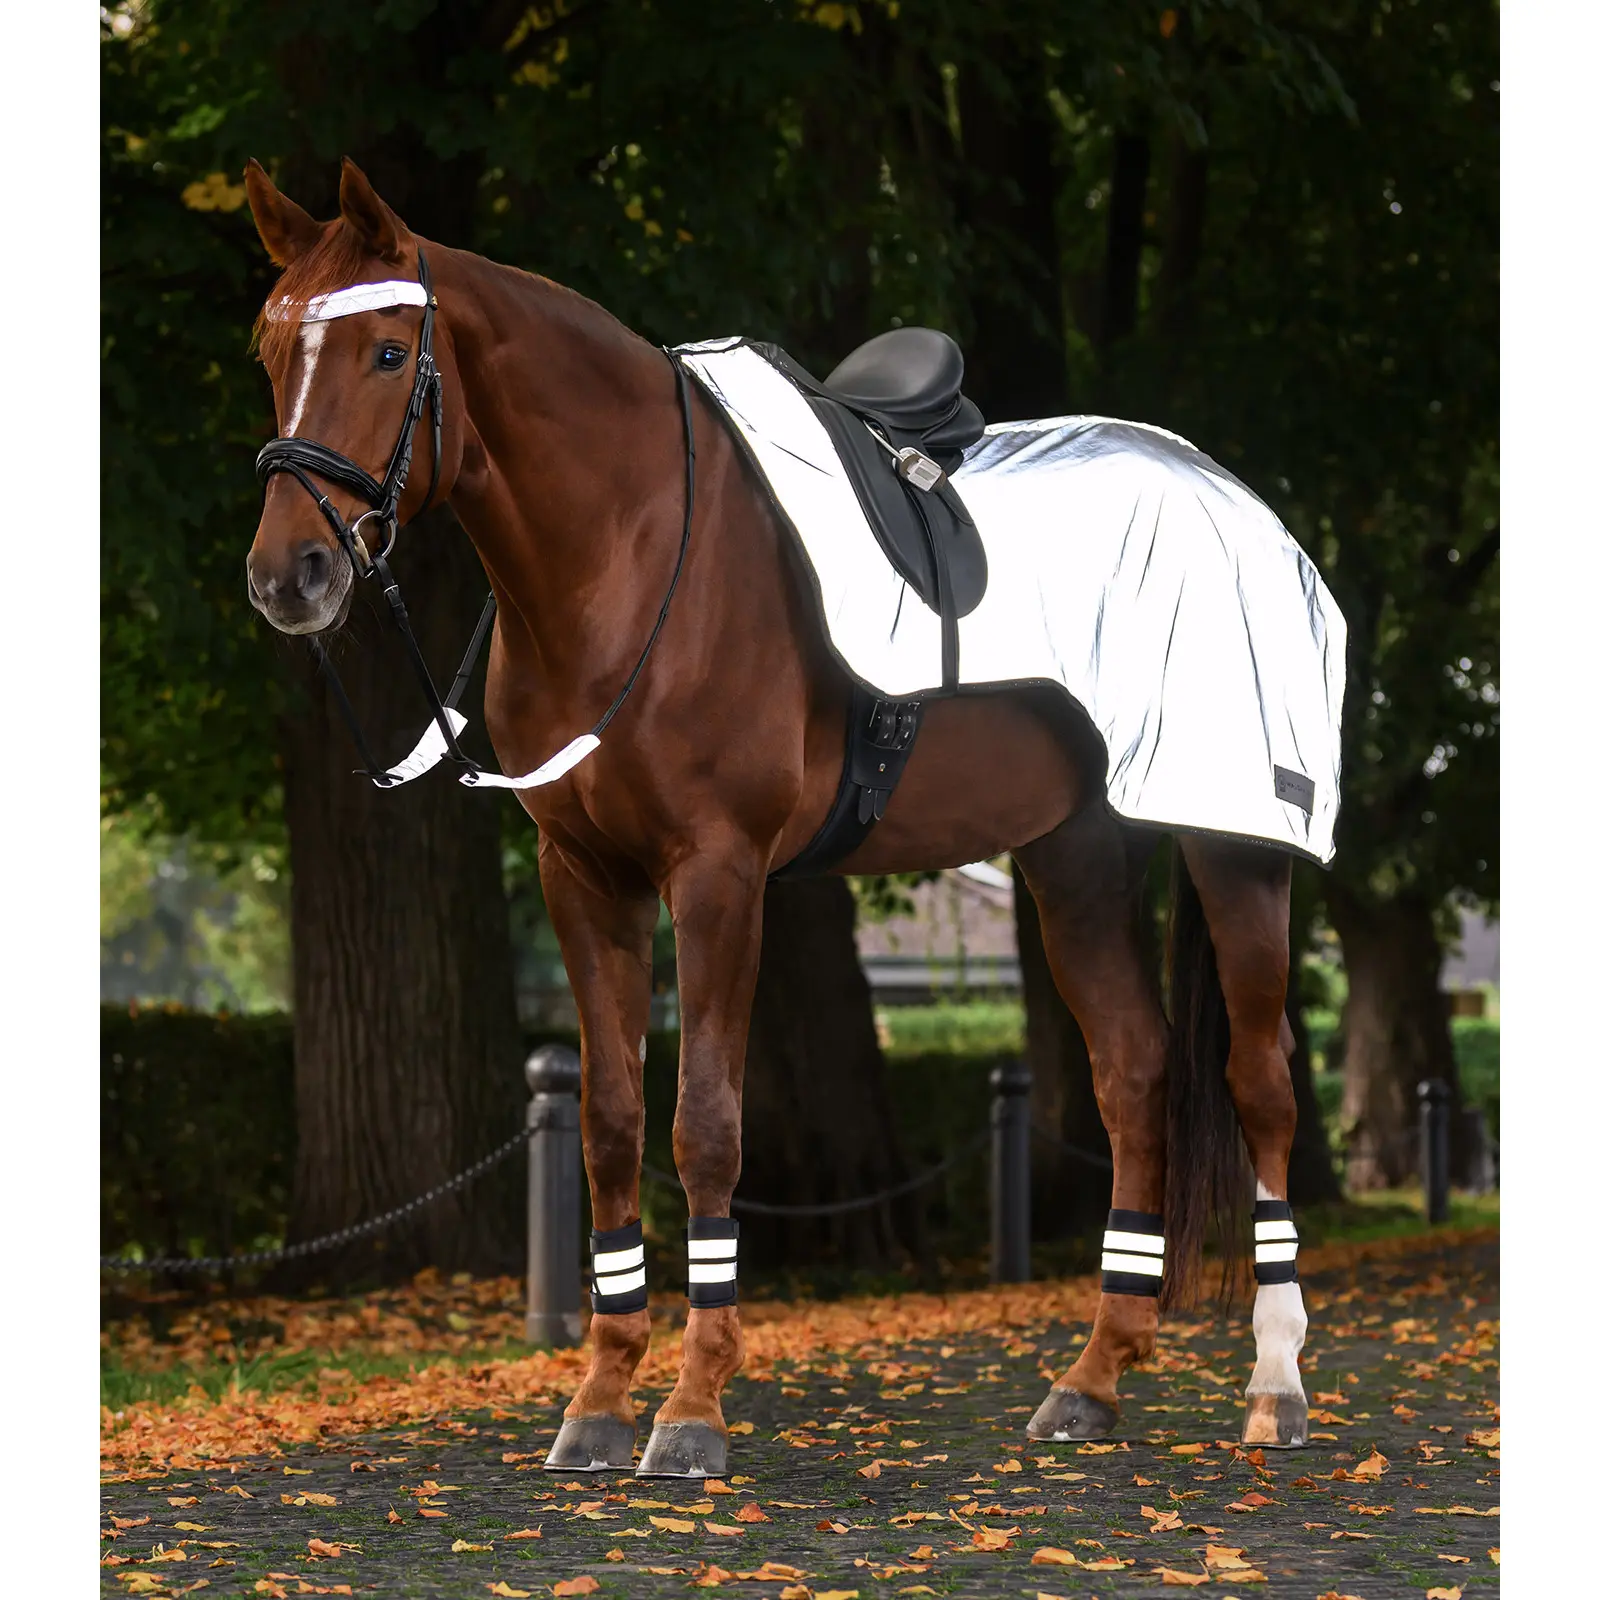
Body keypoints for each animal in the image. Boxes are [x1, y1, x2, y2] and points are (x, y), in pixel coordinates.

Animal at [241, 156, 1316, 1478]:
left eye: (390, 352)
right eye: (268, 346)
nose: (287, 576)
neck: (629, 551)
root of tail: (1228, 490)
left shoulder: (717, 873)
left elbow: (705, 1125)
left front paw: (692, 1409)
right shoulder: (582, 874)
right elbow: (609, 1123)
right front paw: (598, 1399)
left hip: (1233, 844)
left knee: (1259, 1081)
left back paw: (1274, 1384)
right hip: (1075, 855)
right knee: (1133, 1069)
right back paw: (1092, 1378)